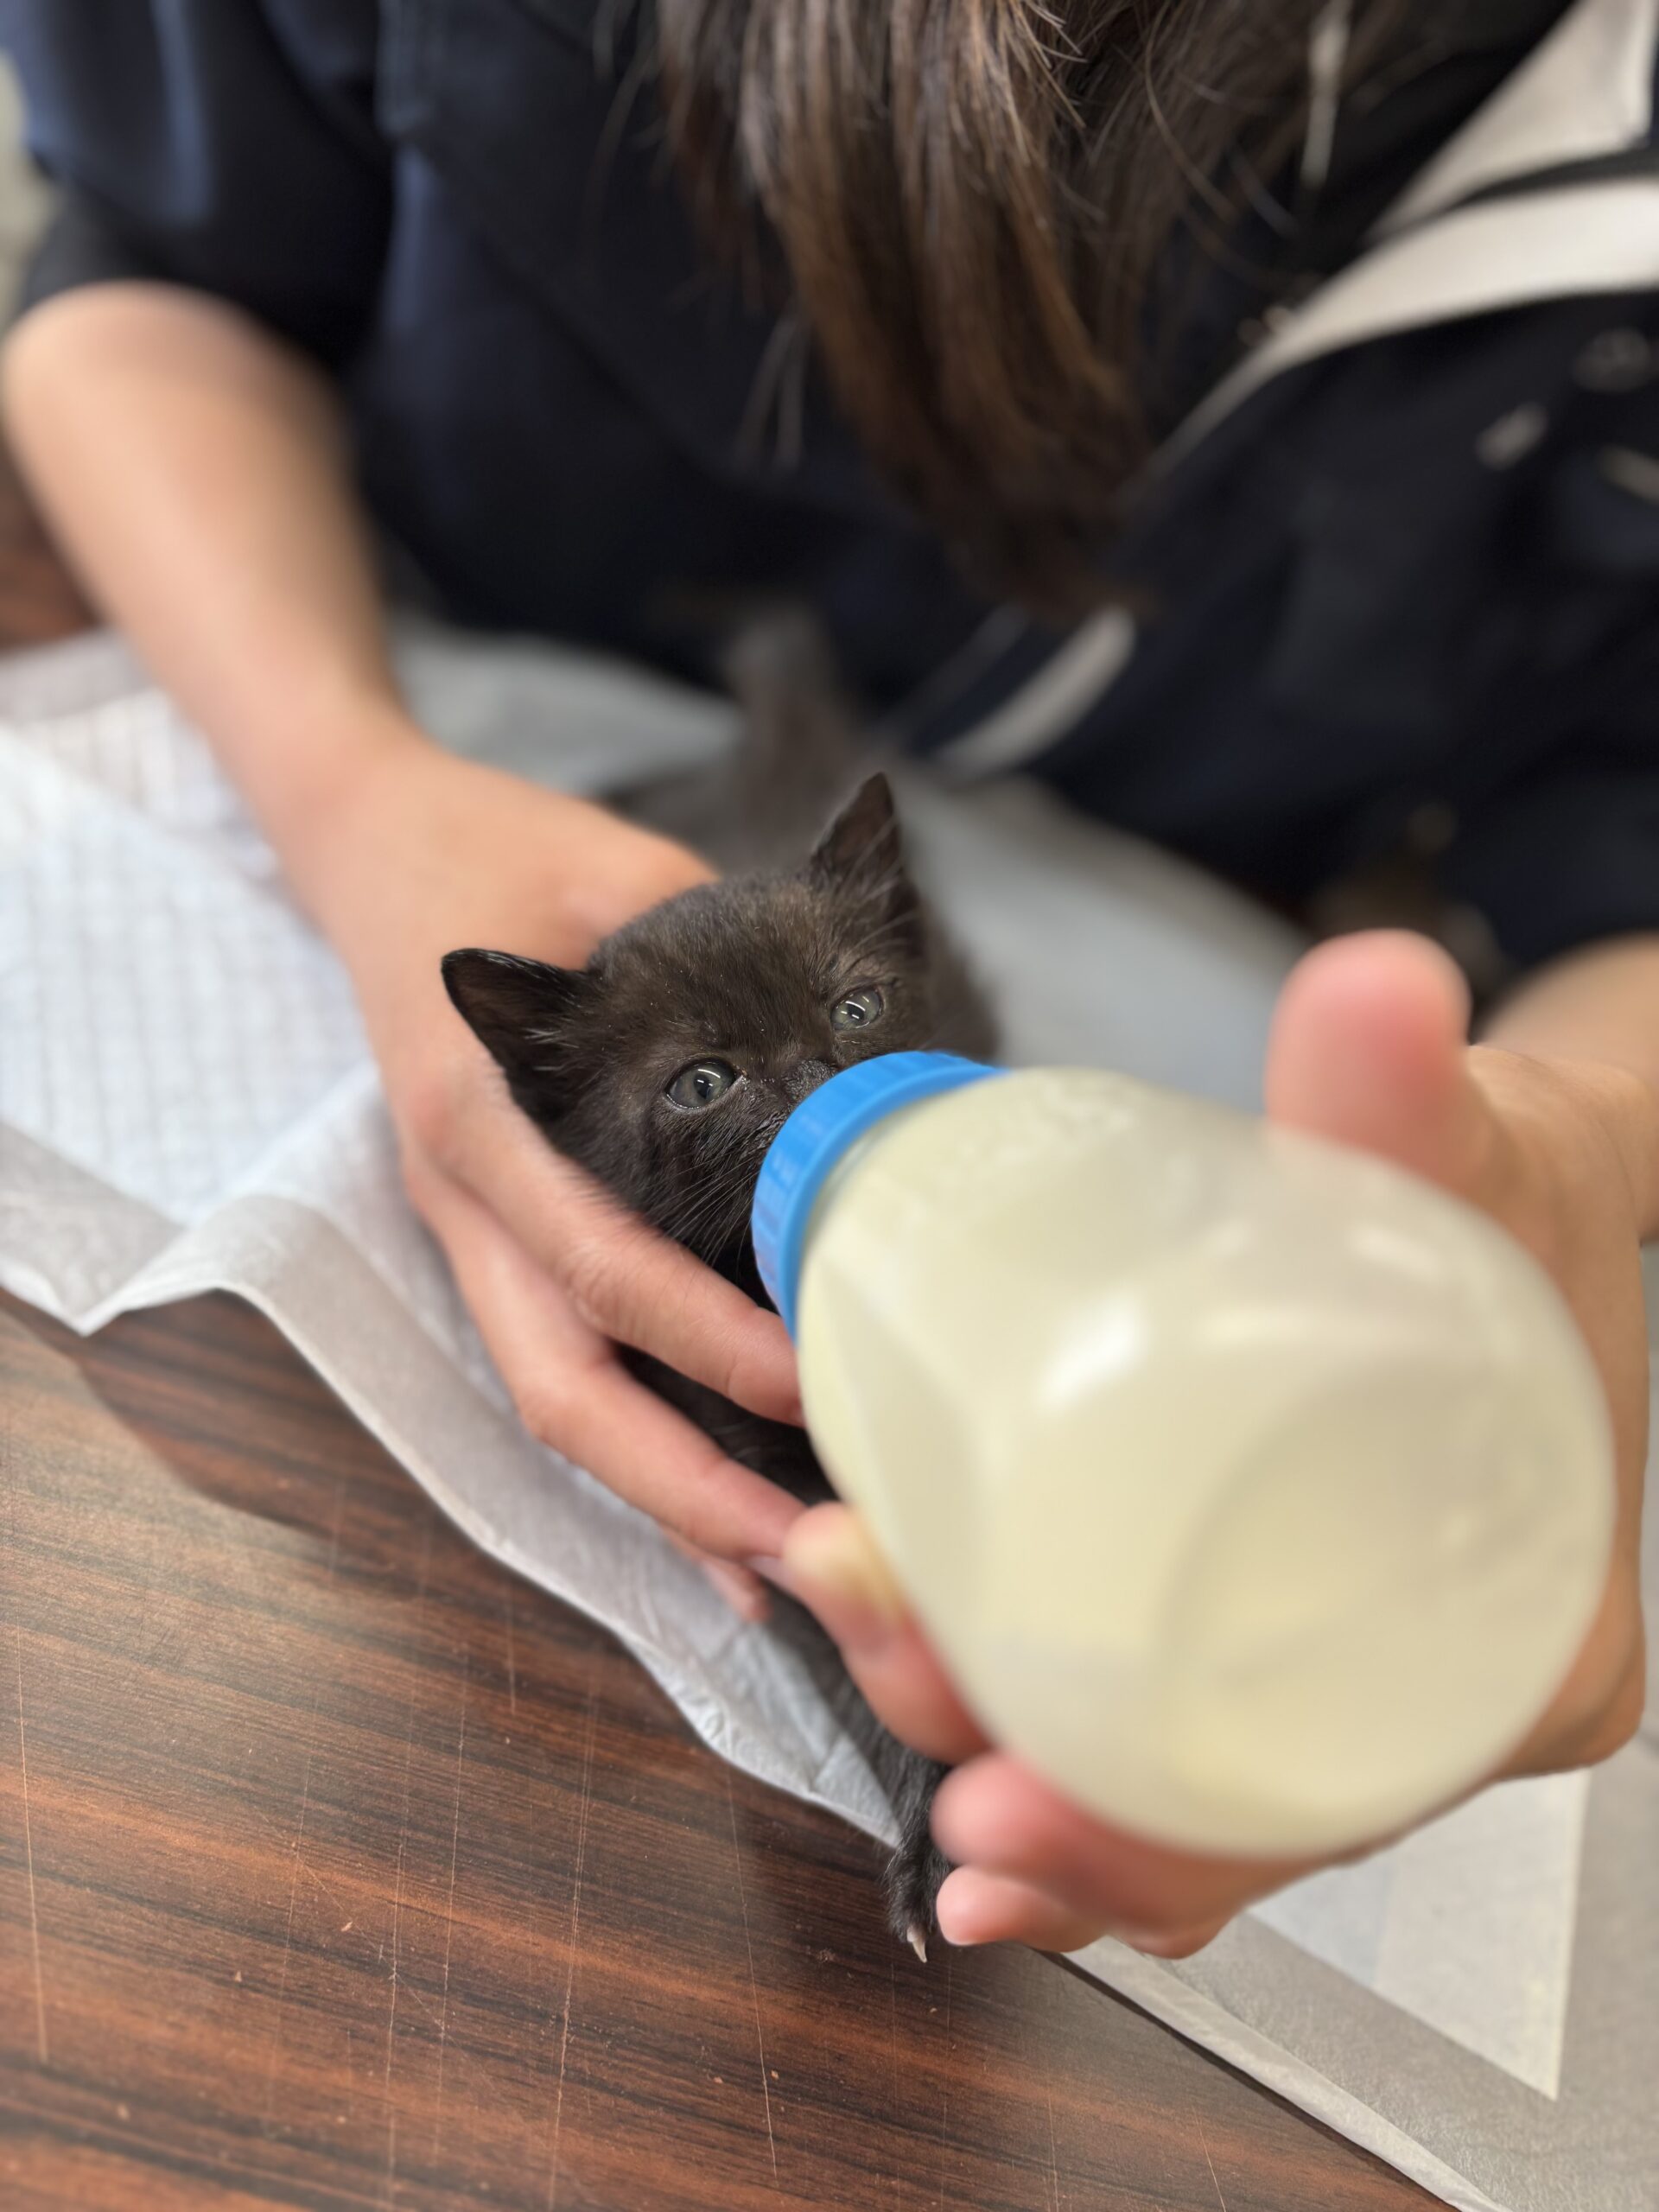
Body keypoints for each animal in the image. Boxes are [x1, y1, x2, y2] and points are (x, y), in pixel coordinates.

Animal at [442, 630, 998, 1955]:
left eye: (854, 1006)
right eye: (703, 1081)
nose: (812, 1076)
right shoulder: (759, 1472)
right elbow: (863, 1644)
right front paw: (937, 1840)